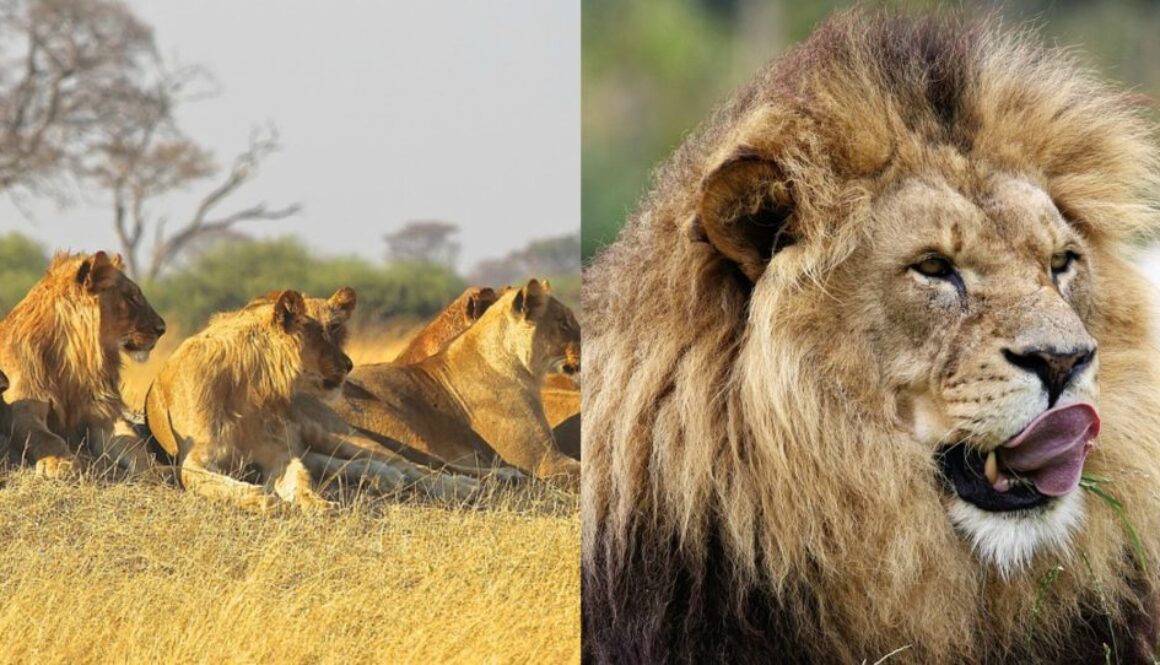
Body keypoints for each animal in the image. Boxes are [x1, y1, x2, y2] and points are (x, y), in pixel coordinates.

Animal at [0, 251, 166, 478]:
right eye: (131, 297)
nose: (162, 328)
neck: (74, 362)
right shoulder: (21, 408)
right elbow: (47, 438)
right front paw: (62, 463)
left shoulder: (103, 414)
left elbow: (134, 444)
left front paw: (156, 470)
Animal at [145, 290, 350, 512]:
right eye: (321, 332)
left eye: (335, 328)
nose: (349, 365)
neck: (249, 386)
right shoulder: (194, 457)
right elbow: (222, 485)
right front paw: (266, 500)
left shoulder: (277, 451)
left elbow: (300, 479)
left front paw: (318, 503)